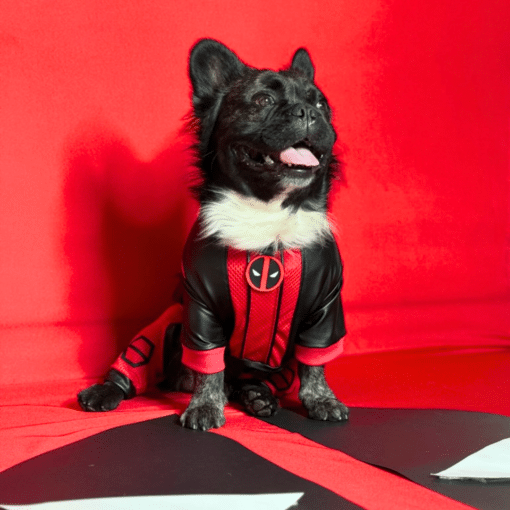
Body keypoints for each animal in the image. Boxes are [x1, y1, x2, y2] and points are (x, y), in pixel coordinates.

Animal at [78, 38, 350, 430]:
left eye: (321, 105)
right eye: (263, 100)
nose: (308, 113)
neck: (266, 210)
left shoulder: (325, 311)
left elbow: (315, 363)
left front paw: (322, 398)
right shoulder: (200, 313)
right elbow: (209, 366)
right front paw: (205, 405)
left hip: (276, 368)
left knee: (260, 378)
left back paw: (255, 396)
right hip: (165, 325)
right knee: (137, 361)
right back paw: (106, 390)